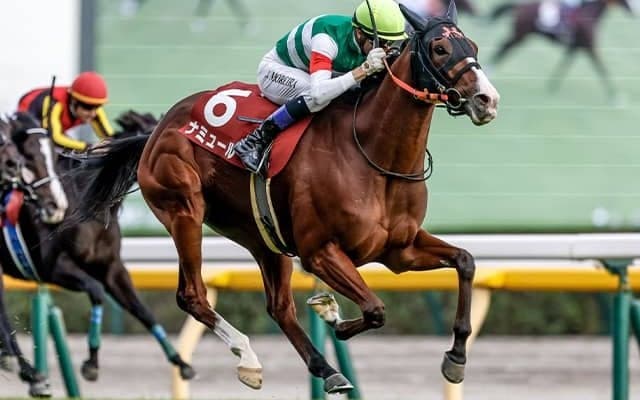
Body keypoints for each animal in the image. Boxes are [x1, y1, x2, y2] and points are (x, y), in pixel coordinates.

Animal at [0, 111, 196, 398]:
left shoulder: (112, 267)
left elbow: (141, 309)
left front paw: (182, 363)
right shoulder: (53, 269)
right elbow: (96, 291)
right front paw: (91, 364)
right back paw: (30, 373)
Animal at [68, 1, 499, 394]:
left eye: (473, 45)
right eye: (440, 48)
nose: (486, 100)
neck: (375, 158)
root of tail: (156, 131)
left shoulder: (399, 250)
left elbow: (465, 262)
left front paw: (456, 358)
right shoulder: (320, 251)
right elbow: (375, 309)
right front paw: (334, 316)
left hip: (261, 235)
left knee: (278, 306)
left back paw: (326, 369)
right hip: (184, 210)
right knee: (192, 295)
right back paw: (248, 356)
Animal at [489, 0, 637, 93]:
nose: (634, 11)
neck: (588, 12)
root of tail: (519, 6)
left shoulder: (575, 47)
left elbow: (564, 65)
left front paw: (551, 86)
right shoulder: (590, 47)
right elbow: (602, 69)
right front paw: (616, 97)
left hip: (520, 35)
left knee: (503, 48)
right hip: (520, 35)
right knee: (503, 48)